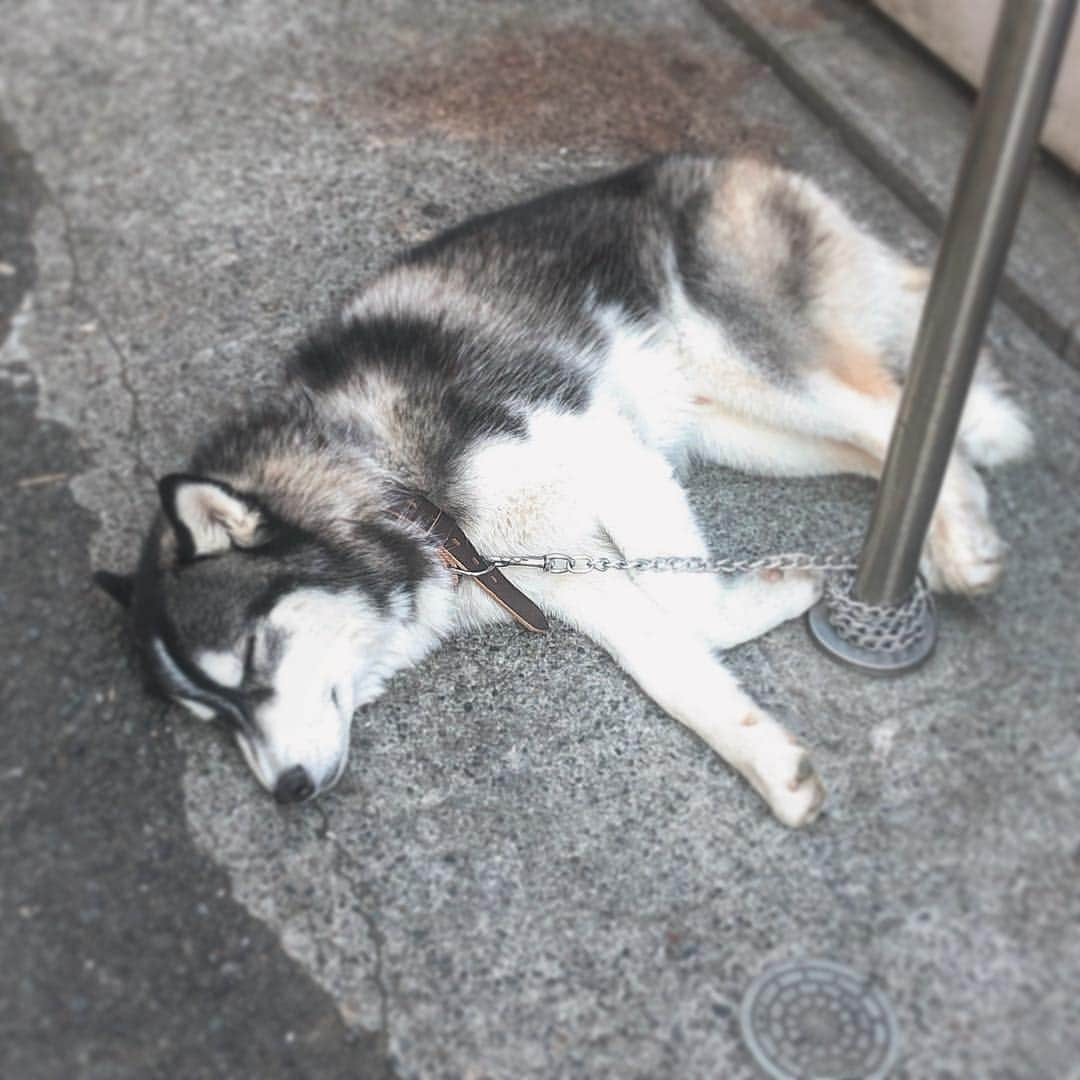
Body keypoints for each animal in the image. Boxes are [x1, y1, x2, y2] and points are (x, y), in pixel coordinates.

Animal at [95, 154, 1028, 825]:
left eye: (255, 660)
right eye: (213, 720)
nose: (286, 790)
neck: (381, 472)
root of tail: (730, 161)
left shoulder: (600, 442)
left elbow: (692, 611)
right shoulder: (553, 573)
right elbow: (667, 663)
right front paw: (769, 761)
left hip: (754, 365)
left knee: (893, 411)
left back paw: (966, 532)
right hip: (748, 429)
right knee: (877, 446)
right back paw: (958, 510)